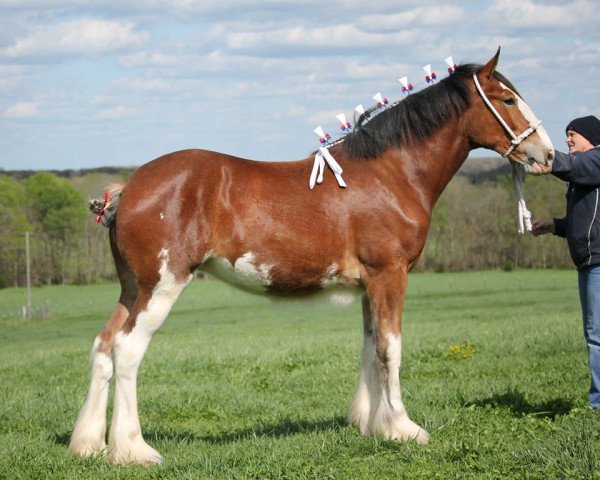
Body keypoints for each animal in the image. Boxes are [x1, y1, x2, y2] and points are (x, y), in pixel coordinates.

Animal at [69, 49, 552, 464]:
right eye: (508, 99)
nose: (546, 154)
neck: (391, 173)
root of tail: (130, 187)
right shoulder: (390, 275)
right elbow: (391, 349)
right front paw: (403, 428)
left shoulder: (370, 284)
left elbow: (370, 346)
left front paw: (371, 424)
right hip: (162, 286)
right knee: (128, 350)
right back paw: (133, 450)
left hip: (132, 288)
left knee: (103, 345)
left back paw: (89, 444)